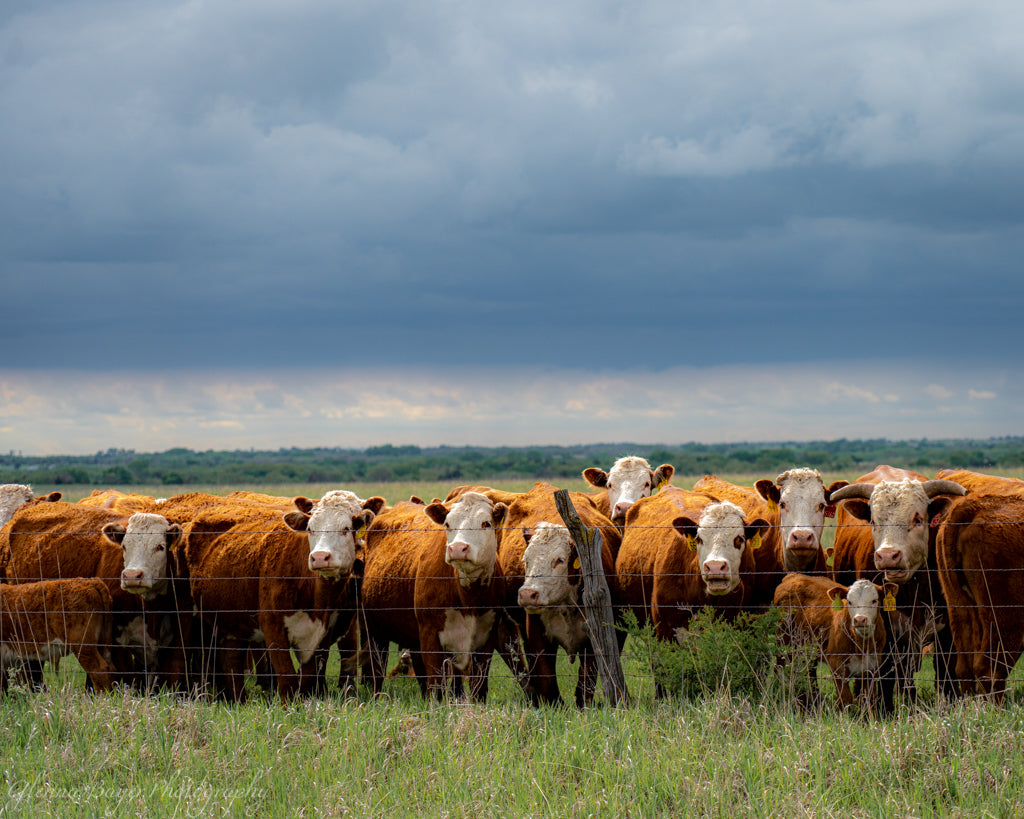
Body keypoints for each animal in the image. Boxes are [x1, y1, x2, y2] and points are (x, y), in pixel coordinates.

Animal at [183, 490, 384, 701]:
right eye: (310, 529)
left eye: (346, 528)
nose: (320, 557)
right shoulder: (273, 627)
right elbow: (287, 679)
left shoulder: (321, 636)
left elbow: (309, 679)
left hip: (232, 623)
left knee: (231, 660)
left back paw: (239, 701)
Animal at [360, 492, 513, 701]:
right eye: (448, 524)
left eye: (486, 523)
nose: (458, 548)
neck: (468, 599)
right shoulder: (430, 634)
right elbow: (436, 684)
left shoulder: (487, 636)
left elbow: (477, 687)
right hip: (375, 631)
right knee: (377, 669)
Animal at [773, 573, 894, 715]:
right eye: (849, 602)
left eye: (874, 600)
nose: (859, 619)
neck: (861, 645)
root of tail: (793, 576)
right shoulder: (837, 665)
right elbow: (845, 699)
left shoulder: (872, 666)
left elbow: (868, 699)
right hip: (783, 642)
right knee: (780, 670)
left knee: (809, 673)